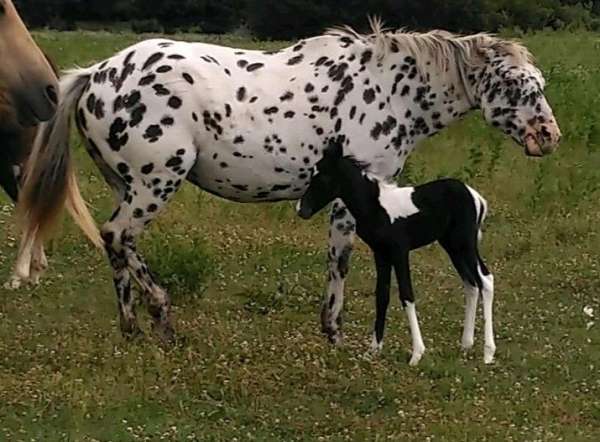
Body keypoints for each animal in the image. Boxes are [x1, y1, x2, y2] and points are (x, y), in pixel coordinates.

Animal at [296, 140, 496, 364]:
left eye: (324, 177)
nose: (301, 210)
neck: (376, 206)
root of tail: (476, 197)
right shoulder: (381, 253)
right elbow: (382, 295)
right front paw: (374, 349)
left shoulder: (400, 252)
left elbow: (406, 294)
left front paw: (417, 354)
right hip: (452, 246)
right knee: (471, 284)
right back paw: (466, 345)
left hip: (465, 244)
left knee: (485, 280)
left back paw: (488, 353)